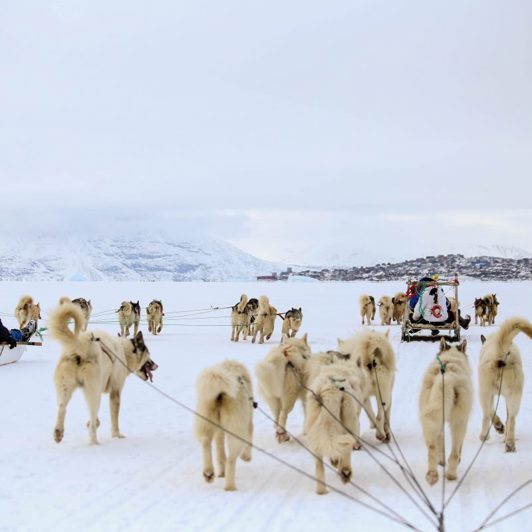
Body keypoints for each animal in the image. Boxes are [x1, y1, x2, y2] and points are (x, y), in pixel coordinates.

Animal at [48, 304, 157, 444]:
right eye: (149, 353)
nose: (156, 365)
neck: (124, 352)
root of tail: (80, 345)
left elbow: (94, 419)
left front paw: (90, 423)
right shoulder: (115, 392)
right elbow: (113, 420)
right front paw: (117, 435)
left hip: (66, 389)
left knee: (62, 408)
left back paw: (58, 432)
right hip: (94, 393)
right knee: (92, 420)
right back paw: (94, 443)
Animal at [195, 360, 254, 492]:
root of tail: (220, 392)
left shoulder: (219, 430)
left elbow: (220, 452)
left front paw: (221, 473)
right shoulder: (248, 421)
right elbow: (250, 436)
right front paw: (246, 457)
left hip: (206, 419)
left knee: (206, 442)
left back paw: (208, 473)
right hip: (236, 429)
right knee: (231, 460)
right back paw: (230, 487)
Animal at [418, 338, 472, 484]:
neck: (451, 357)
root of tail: (447, 378)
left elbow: (440, 443)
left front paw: (441, 461)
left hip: (429, 422)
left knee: (432, 448)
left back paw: (432, 474)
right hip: (459, 424)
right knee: (454, 453)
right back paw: (451, 475)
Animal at [478, 318, 532, 450]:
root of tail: (501, 350)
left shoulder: (489, 393)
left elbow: (492, 412)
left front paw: (499, 427)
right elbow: (506, 417)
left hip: (484, 392)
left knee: (486, 415)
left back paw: (484, 436)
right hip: (514, 395)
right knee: (511, 419)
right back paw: (509, 444)